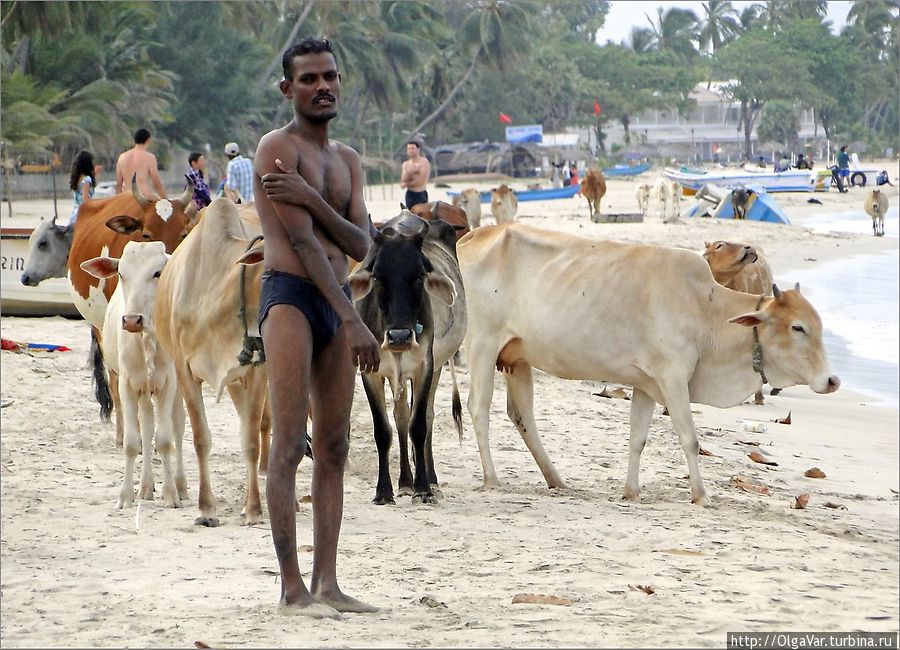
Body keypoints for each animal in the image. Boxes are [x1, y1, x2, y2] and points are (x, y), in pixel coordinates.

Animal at [81, 240, 187, 508]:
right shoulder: (127, 385)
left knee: (178, 428)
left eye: (157, 273)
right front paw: (125, 496)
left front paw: (170, 494)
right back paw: (146, 487)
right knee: (147, 427)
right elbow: (132, 442)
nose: (131, 320)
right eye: (121, 274)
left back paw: (180, 486)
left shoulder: (168, 385)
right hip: (143, 391)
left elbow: (165, 440)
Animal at [348, 210, 468, 504]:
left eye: (418, 276)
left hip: (435, 368)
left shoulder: (425, 366)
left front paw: (423, 488)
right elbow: (384, 429)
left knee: (427, 416)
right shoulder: (370, 371)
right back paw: (404, 482)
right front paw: (384, 491)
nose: (400, 336)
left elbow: (419, 425)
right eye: (378, 277)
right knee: (401, 416)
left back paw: (430, 481)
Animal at [460, 224, 840, 506]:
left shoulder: (645, 385)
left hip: (517, 358)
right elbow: (689, 438)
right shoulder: (673, 379)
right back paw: (492, 478)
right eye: (798, 327)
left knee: (521, 414)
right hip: (482, 345)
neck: (705, 309)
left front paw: (631, 491)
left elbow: (637, 439)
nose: (832, 380)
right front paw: (701, 496)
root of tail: (473, 236)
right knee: (478, 408)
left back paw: (556, 480)